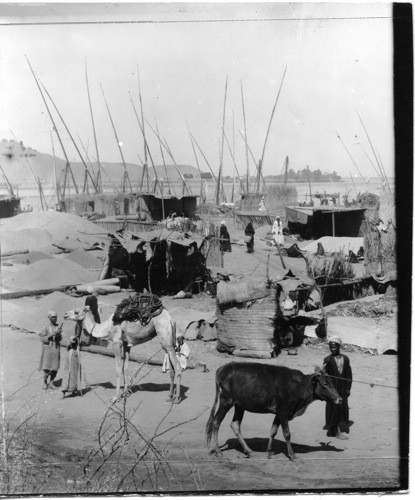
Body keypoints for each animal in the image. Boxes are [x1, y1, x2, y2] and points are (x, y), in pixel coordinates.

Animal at [206, 360, 342, 460]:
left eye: (331, 381)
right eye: (325, 383)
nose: (340, 399)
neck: (299, 386)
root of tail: (223, 368)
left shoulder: (279, 413)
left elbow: (273, 431)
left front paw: (270, 451)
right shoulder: (283, 412)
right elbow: (287, 433)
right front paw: (292, 455)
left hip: (239, 405)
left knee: (235, 424)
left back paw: (248, 450)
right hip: (226, 401)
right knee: (216, 422)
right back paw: (218, 451)